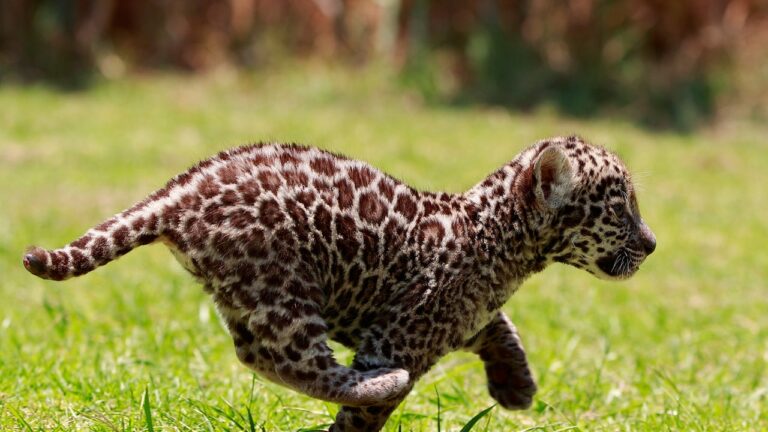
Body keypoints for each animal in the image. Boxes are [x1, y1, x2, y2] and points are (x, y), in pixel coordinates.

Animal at [23, 135, 656, 431]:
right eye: (619, 208)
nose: (651, 243)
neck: (500, 240)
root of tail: (183, 190)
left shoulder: (459, 320)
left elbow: (501, 328)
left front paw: (516, 387)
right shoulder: (400, 335)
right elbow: (363, 421)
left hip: (254, 293)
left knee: (256, 352)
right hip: (282, 284)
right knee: (289, 357)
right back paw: (379, 384)